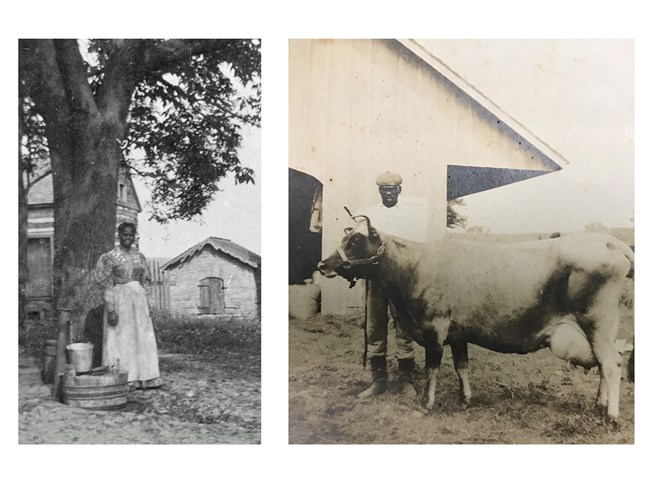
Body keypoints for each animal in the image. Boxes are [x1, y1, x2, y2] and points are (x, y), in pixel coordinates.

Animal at [318, 215, 632, 422]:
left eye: (355, 240)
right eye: (346, 237)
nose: (323, 264)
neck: (416, 265)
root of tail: (612, 242)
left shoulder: (435, 328)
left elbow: (432, 369)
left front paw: (426, 404)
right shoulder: (458, 333)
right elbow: (462, 366)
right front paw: (465, 399)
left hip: (597, 321)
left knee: (611, 364)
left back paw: (612, 416)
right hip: (603, 326)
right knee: (605, 363)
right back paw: (599, 405)